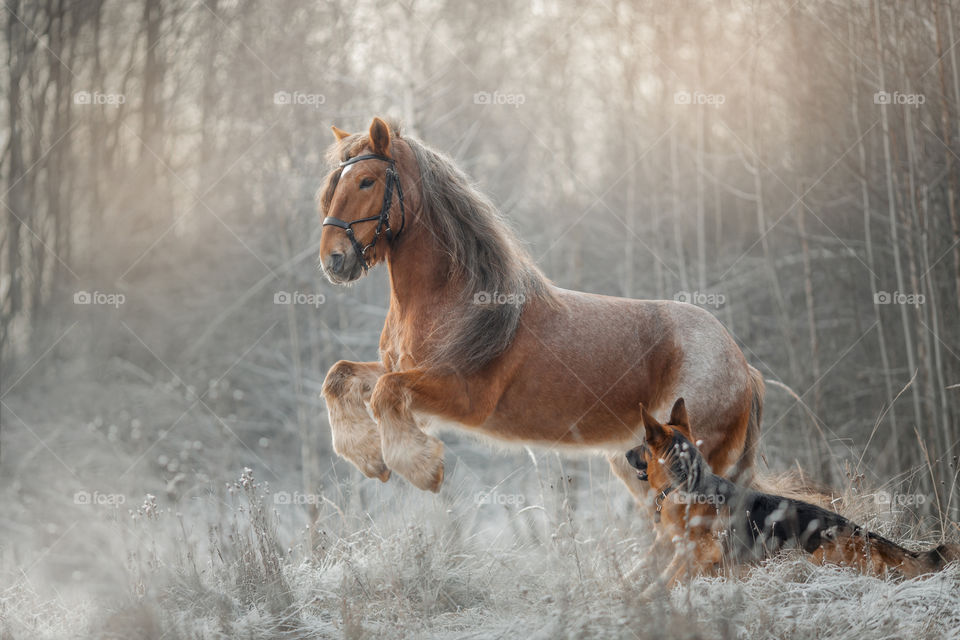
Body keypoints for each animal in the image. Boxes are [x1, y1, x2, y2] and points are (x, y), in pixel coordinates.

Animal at [318, 119, 760, 500]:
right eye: (333, 184)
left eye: (367, 180)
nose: (333, 260)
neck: (454, 300)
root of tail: (742, 366)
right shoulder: (398, 369)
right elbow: (339, 375)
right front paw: (369, 458)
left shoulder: (460, 395)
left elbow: (386, 393)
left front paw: (423, 469)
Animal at [628, 398, 956, 588]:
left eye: (642, 445)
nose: (627, 454)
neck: (684, 483)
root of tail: (864, 533)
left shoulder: (697, 554)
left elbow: (666, 581)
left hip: (812, 559)